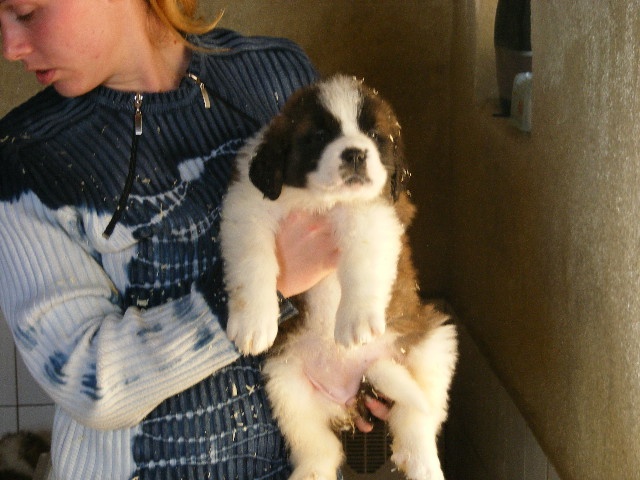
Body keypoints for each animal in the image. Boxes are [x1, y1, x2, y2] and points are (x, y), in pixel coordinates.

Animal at [220, 75, 457, 480]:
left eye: (375, 136)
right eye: (318, 135)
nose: (356, 154)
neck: (319, 199)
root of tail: (353, 389)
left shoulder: (374, 212)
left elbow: (362, 258)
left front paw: (356, 319)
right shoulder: (247, 209)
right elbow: (253, 260)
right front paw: (253, 323)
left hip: (433, 343)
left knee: (416, 418)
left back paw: (423, 463)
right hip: (285, 384)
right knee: (321, 447)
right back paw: (310, 473)